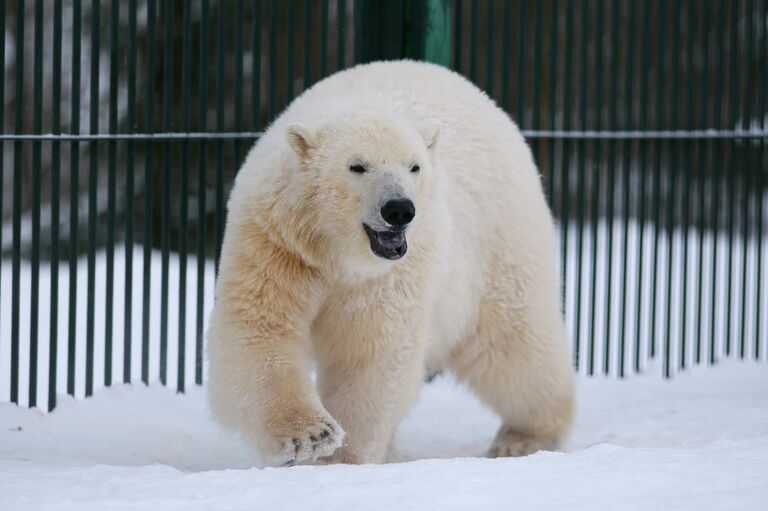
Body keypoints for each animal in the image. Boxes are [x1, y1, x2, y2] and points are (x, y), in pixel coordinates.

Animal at [207, 61, 572, 468]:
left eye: (414, 166)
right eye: (357, 166)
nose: (398, 209)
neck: (337, 252)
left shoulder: (391, 275)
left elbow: (372, 353)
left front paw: (342, 459)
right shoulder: (277, 243)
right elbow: (259, 329)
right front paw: (310, 436)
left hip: (499, 240)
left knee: (514, 345)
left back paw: (524, 437)